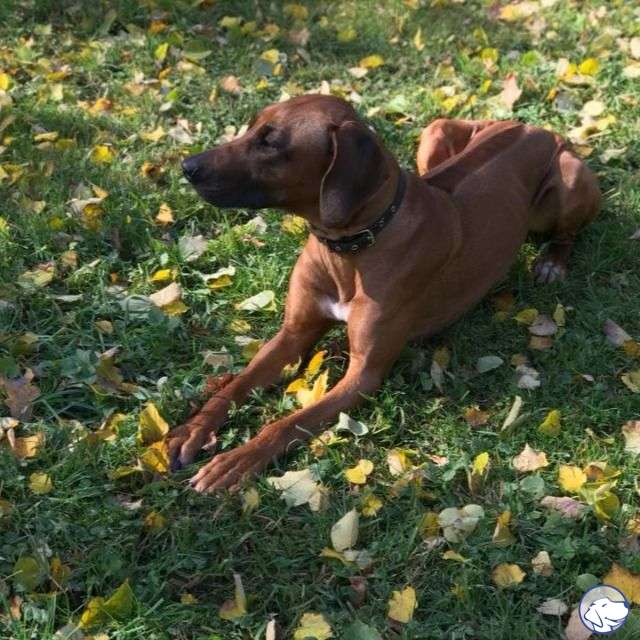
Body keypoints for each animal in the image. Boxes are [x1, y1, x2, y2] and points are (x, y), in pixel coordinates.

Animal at [168, 95, 600, 492]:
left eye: (270, 142)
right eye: (251, 127)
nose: (188, 167)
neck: (350, 247)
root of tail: (538, 129)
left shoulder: (364, 374)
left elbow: (288, 424)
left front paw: (236, 461)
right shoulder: (293, 333)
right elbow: (235, 386)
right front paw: (192, 428)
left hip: (568, 180)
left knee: (567, 233)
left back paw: (552, 262)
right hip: (435, 132)